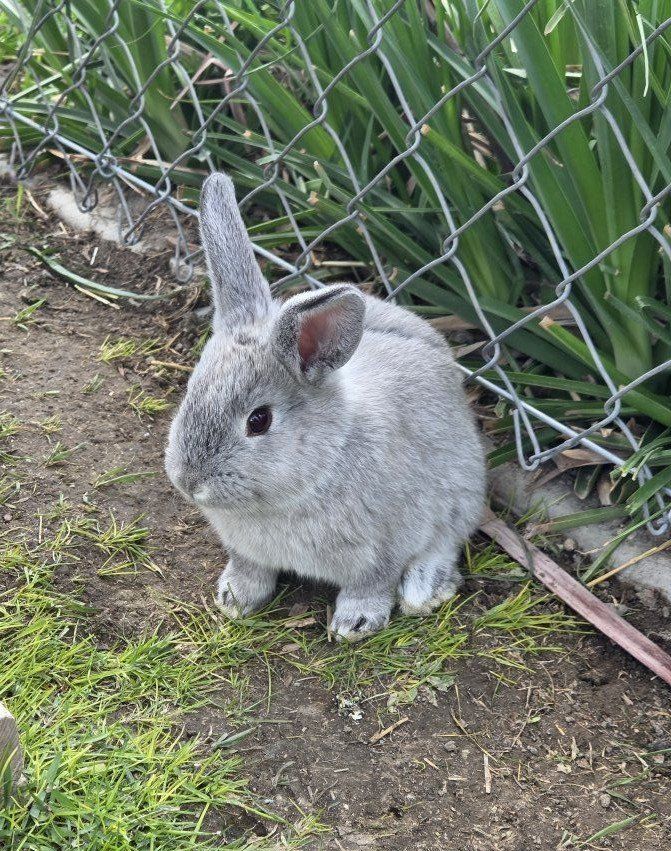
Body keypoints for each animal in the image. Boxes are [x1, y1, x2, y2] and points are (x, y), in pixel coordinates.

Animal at [165, 172, 486, 641]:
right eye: (191, 390)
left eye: (258, 421)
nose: (188, 483)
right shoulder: (247, 550)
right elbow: (249, 569)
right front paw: (236, 599)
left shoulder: (387, 545)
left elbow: (374, 583)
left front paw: (355, 622)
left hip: (462, 492)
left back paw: (424, 590)